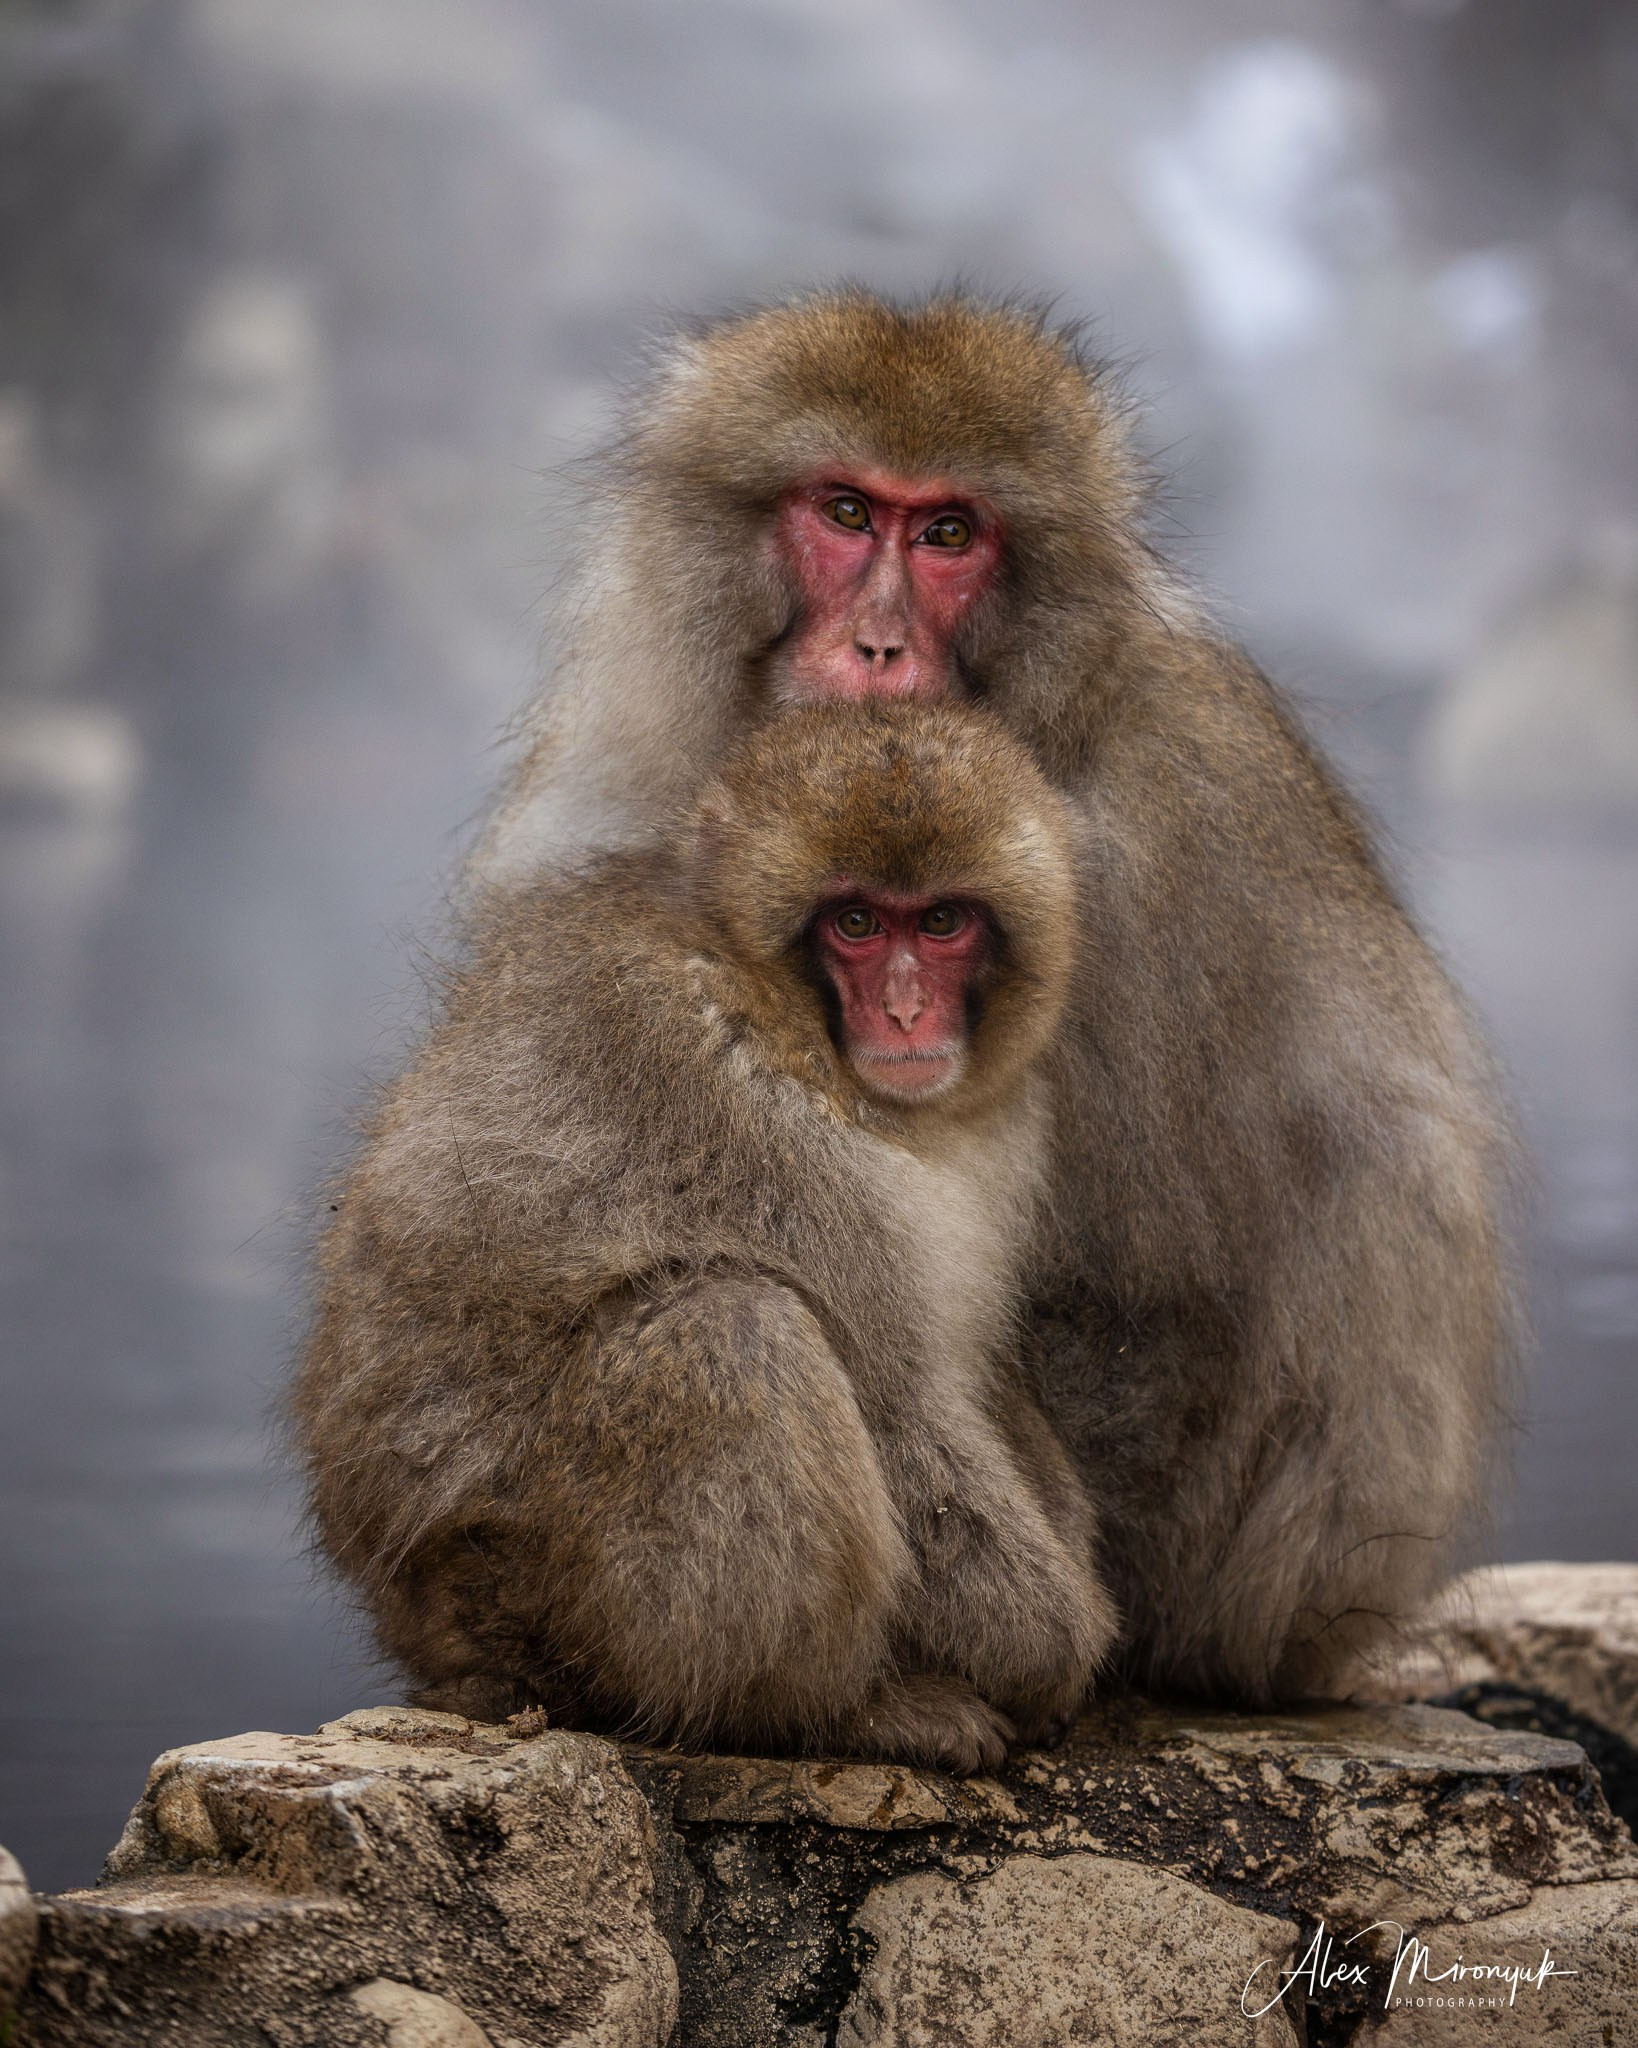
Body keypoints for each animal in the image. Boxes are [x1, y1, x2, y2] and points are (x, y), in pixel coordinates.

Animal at [294, 701, 1117, 1773]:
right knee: (729, 1326)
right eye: (856, 923)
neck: (792, 1018)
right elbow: (899, 1402)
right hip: (540, 1602)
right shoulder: (740, 1105)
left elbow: (975, 1375)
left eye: (941, 921)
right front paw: (1049, 1648)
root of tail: (428, 1637)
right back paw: (815, 1714)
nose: (904, 1012)